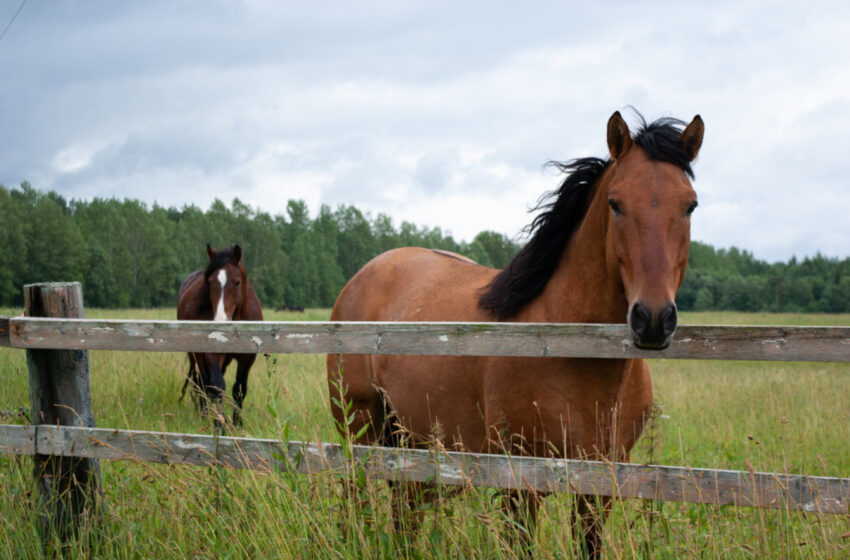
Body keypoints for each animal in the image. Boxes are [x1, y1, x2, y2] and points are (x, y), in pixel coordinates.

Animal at [176, 244, 262, 424]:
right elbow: (216, 386)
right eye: (209, 282)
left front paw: (237, 424)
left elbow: (239, 389)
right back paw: (203, 415)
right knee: (201, 382)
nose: (220, 321)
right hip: (195, 355)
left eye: (237, 282)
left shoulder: (247, 358)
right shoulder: (212, 352)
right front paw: (219, 422)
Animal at [324, 111, 704, 556]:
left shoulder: (600, 486)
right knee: (357, 504)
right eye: (616, 204)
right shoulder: (520, 485)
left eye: (690, 205)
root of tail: (362, 277)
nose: (654, 318)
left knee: (405, 512)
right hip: (360, 430)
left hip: (413, 442)